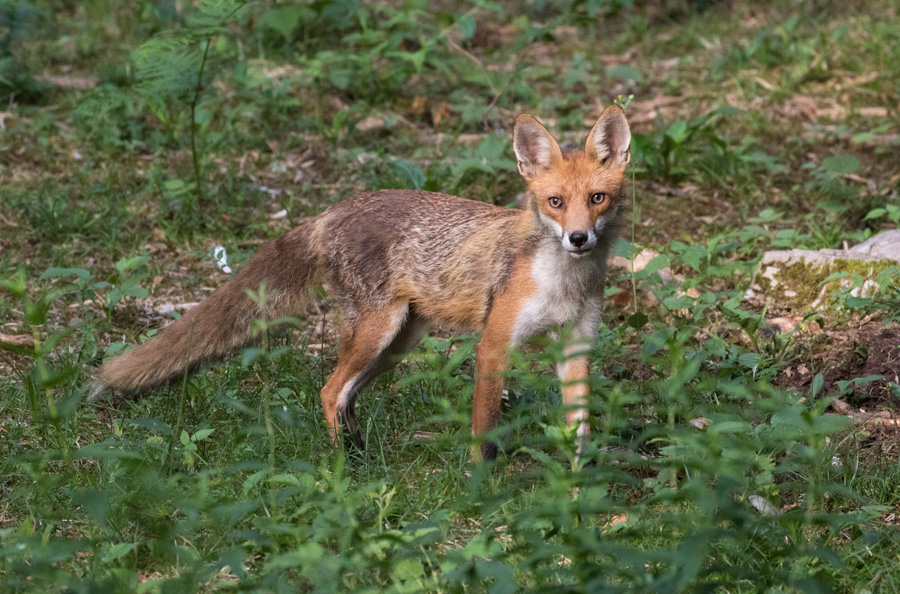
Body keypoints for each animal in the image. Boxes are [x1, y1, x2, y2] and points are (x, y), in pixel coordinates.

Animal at [95, 105, 628, 458]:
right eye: (555, 202)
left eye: (597, 198)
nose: (579, 238)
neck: (563, 284)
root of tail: (335, 208)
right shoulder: (494, 345)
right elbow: (485, 431)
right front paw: (484, 487)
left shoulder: (576, 346)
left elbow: (579, 431)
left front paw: (578, 492)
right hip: (378, 331)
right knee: (329, 391)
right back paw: (343, 469)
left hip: (397, 342)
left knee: (346, 395)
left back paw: (360, 456)